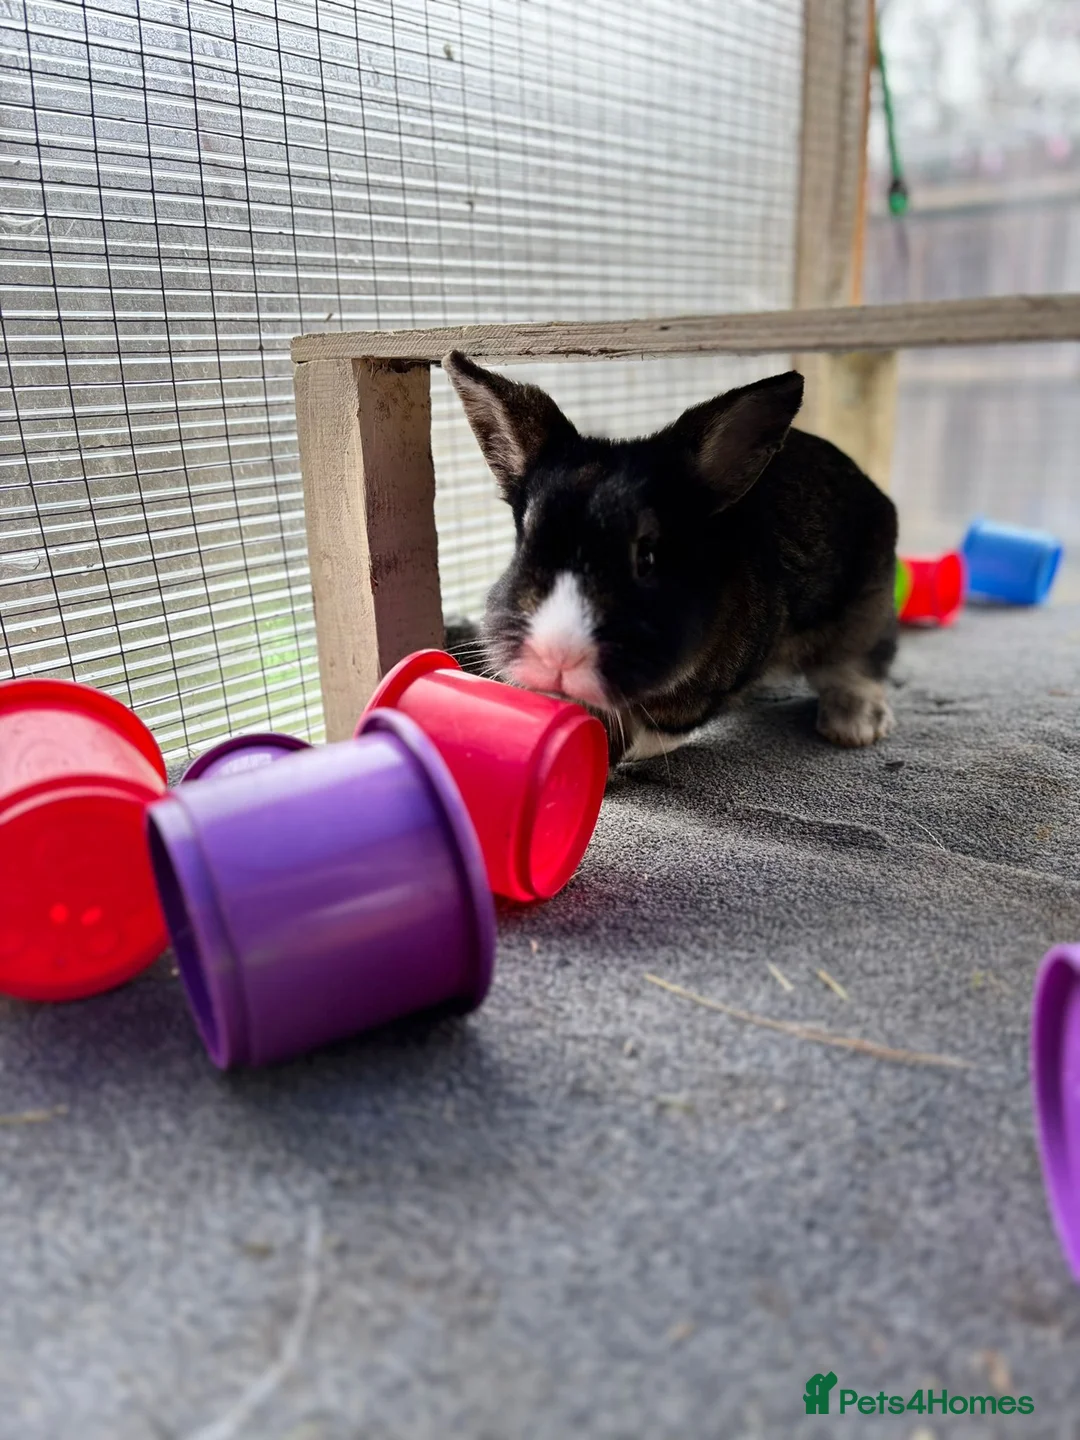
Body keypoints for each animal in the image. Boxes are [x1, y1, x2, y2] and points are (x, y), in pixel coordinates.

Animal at [442, 351, 898, 764]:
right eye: (524, 544)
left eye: (646, 557)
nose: (557, 656)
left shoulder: (706, 688)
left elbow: (660, 728)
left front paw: (612, 754)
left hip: (865, 608)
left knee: (860, 665)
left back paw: (854, 726)